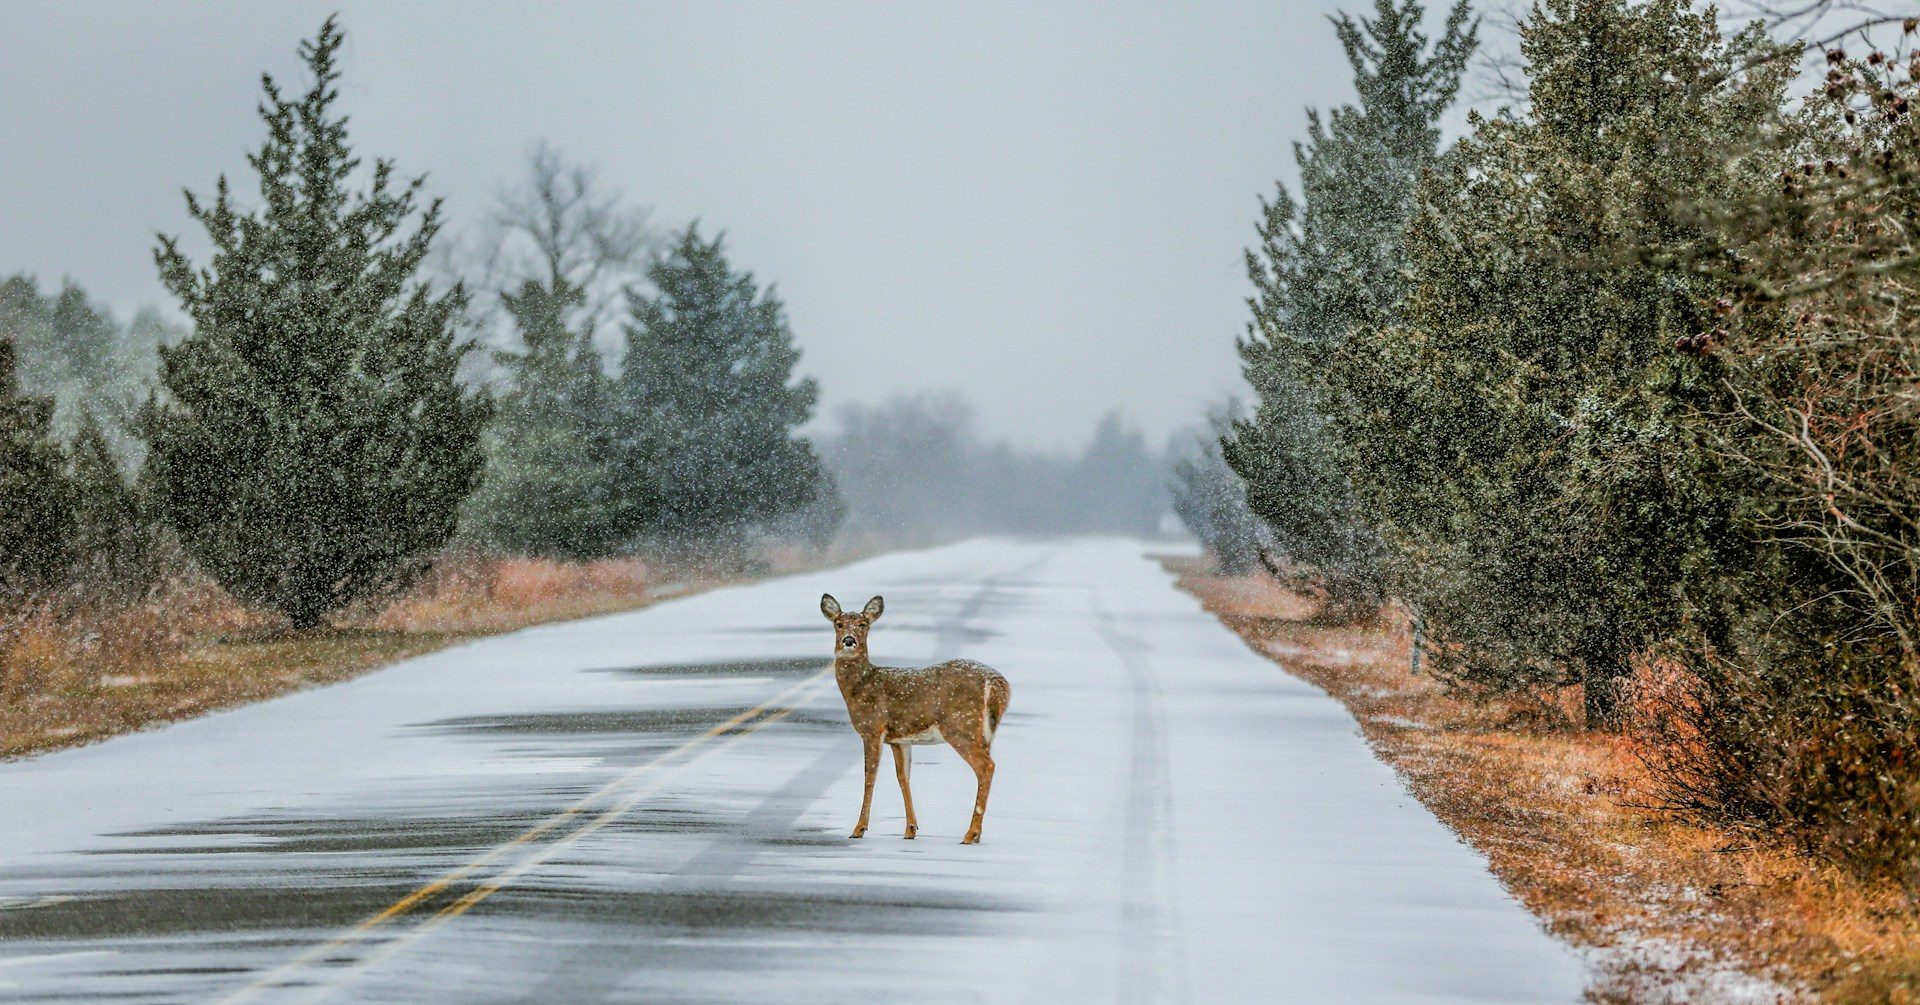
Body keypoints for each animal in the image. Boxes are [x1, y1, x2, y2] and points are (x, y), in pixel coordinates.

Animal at [820, 593, 1010, 844]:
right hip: (982, 732)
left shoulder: (873, 728)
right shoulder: (899, 739)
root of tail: (997, 683)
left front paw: (859, 829)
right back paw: (975, 834)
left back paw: (971, 834)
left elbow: (870, 775)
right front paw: (911, 829)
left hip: (961, 726)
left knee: (987, 766)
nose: (849, 640)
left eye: (863, 624)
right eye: (839, 624)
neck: (861, 686)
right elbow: (903, 777)